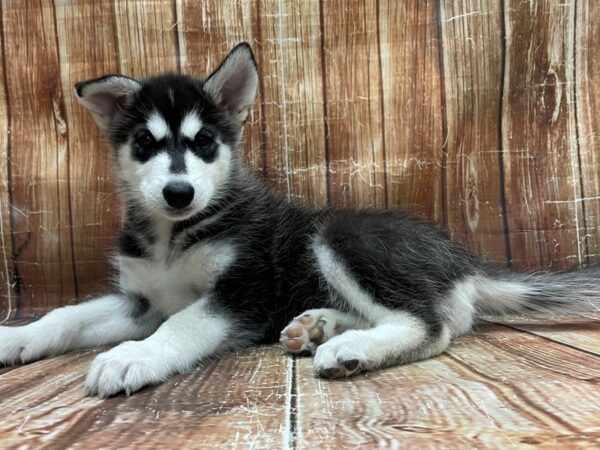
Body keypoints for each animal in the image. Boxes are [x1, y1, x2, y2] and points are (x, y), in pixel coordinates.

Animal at [0, 43, 596, 398]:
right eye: (144, 143)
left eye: (205, 142)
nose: (178, 192)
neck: (174, 236)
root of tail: (464, 258)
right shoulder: (140, 301)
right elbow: (67, 314)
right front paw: (18, 337)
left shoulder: (243, 292)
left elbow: (182, 324)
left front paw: (134, 356)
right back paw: (318, 326)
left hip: (340, 235)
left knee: (435, 326)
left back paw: (349, 348)